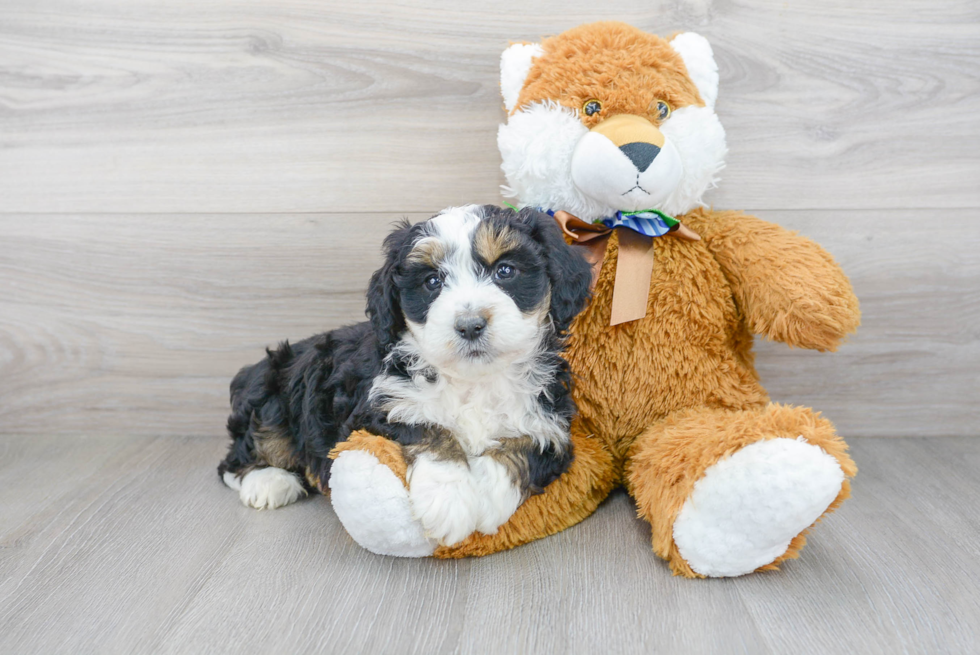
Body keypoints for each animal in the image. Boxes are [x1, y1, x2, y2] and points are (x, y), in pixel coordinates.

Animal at [220, 205, 588, 548]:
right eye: (432, 282)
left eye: (506, 270)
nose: (470, 325)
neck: (472, 380)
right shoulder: (377, 408)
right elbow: (429, 428)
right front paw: (448, 500)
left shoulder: (551, 424)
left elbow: (523, 445)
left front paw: (486, 497)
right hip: (274, 389)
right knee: (237, 458)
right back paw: (269, 482)